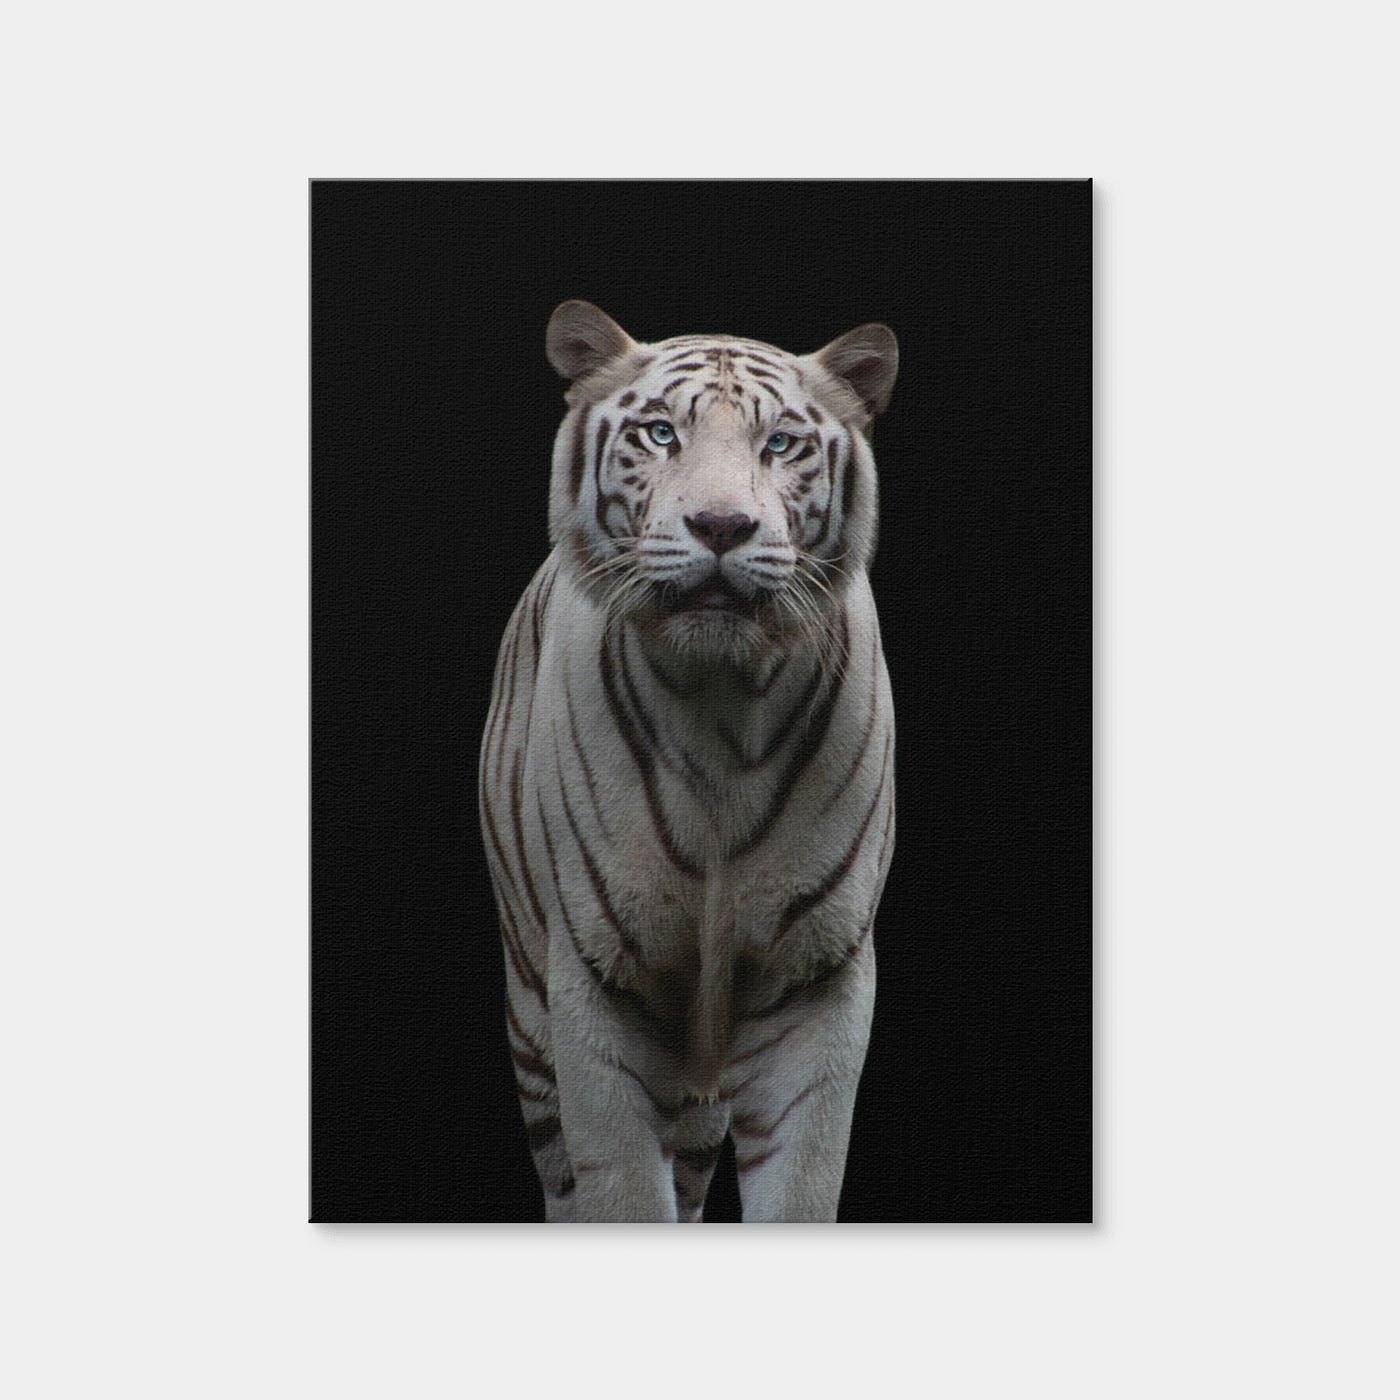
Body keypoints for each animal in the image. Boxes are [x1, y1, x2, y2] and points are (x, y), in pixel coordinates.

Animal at [479, 300, 898, 1222]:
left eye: (780, 443)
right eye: (662, 433)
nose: (721, 526)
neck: (723, 710)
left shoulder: (819, 978)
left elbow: (802, 1185)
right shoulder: (595, 981)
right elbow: (623, 1188)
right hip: (530, 1014)